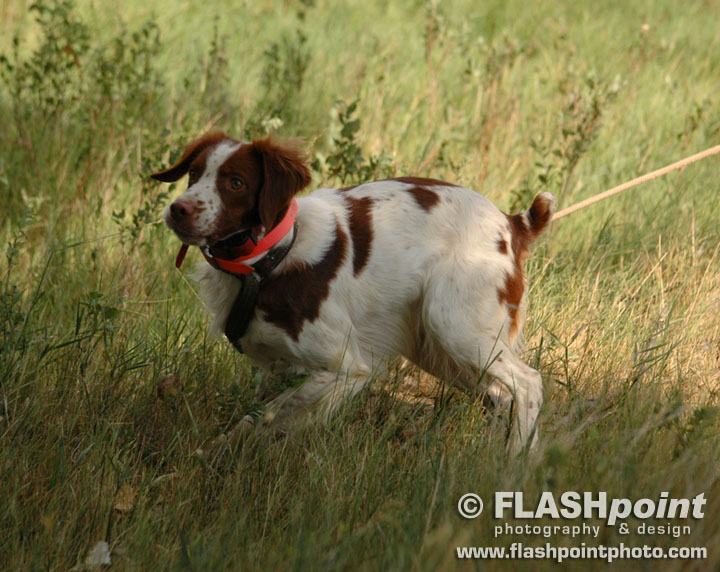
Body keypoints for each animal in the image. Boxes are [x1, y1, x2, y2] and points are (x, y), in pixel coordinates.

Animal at [151, 131, 554, 454]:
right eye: (194, 173)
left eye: (236, 182)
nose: (178, 209)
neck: (270, 256)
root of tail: (512, 223)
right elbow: (254, 418)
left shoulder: (345, 367)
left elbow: (268, 415)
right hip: (438, 348)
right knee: (503, 396)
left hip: (453, 324)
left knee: (528, 384)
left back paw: (513, 463)